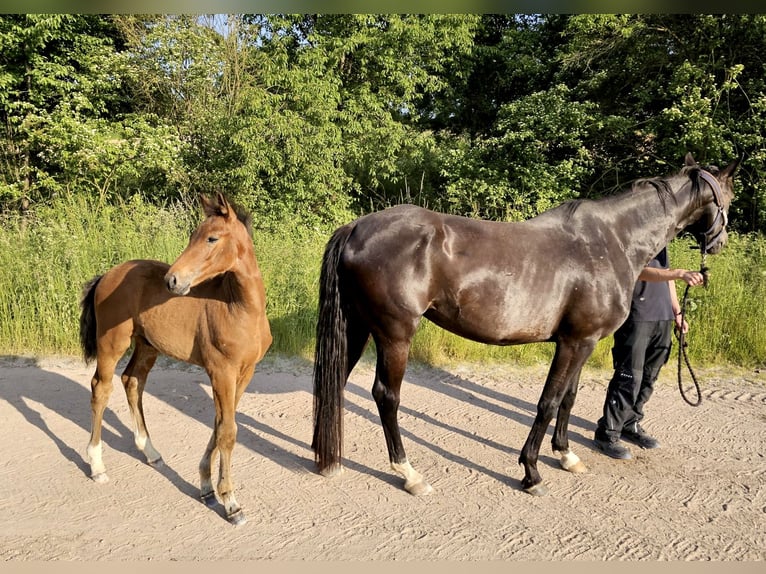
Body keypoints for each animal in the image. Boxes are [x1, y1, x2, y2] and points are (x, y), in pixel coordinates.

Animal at [79, 194, 272, 528]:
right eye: (193, 235)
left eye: (211, 238)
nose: (172, 280)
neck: (240, 308)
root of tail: (106, 276)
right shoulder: (221, 371)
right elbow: (228, 431)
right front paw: (231, 503)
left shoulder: (245, 372)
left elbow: (221, 423)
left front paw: (207, 487)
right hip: (111, 343)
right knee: (100, 389)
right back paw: (97, 466)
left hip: (147, 346)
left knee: (132, 381)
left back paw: (151, 452)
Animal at [316, 154, 740, 500]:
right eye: (729, 198)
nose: (719, 243)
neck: (611, 242)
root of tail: (356, 228)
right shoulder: (574, 343)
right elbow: (548, 402)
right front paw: (532, 472)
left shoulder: (583, 342)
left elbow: (568, 399)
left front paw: (566, 455)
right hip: (395, 335)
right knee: (386, 396)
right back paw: (409, 474)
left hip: (357, 328)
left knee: (334, 381)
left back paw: (325, 456)